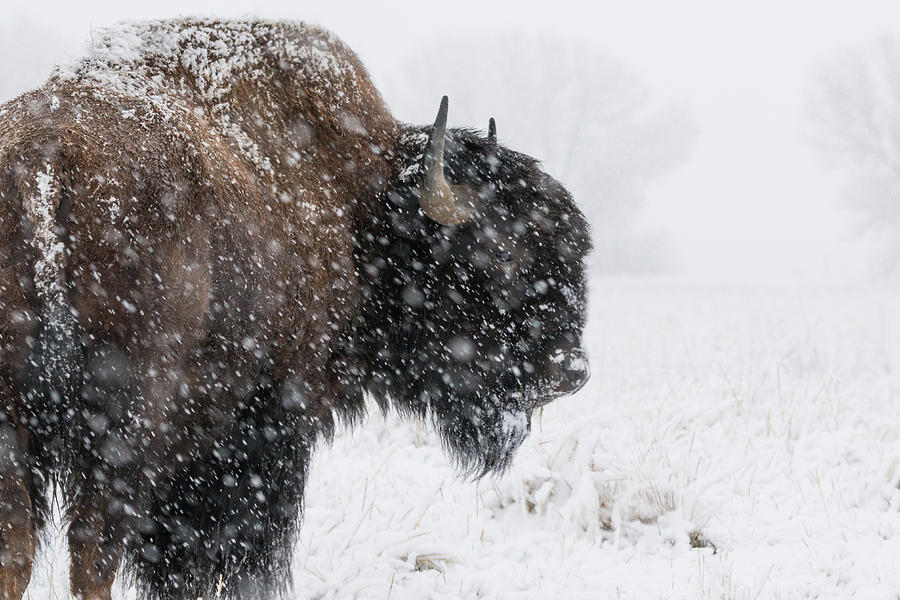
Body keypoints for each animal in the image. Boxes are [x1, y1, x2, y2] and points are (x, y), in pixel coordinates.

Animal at [0, 17, 592, 600]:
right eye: (503, 253)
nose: (572, 371)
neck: (359, 202)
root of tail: (47, 161)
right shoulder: (270, 427)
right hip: (122, 429)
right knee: (91, 555)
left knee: (21, 552)